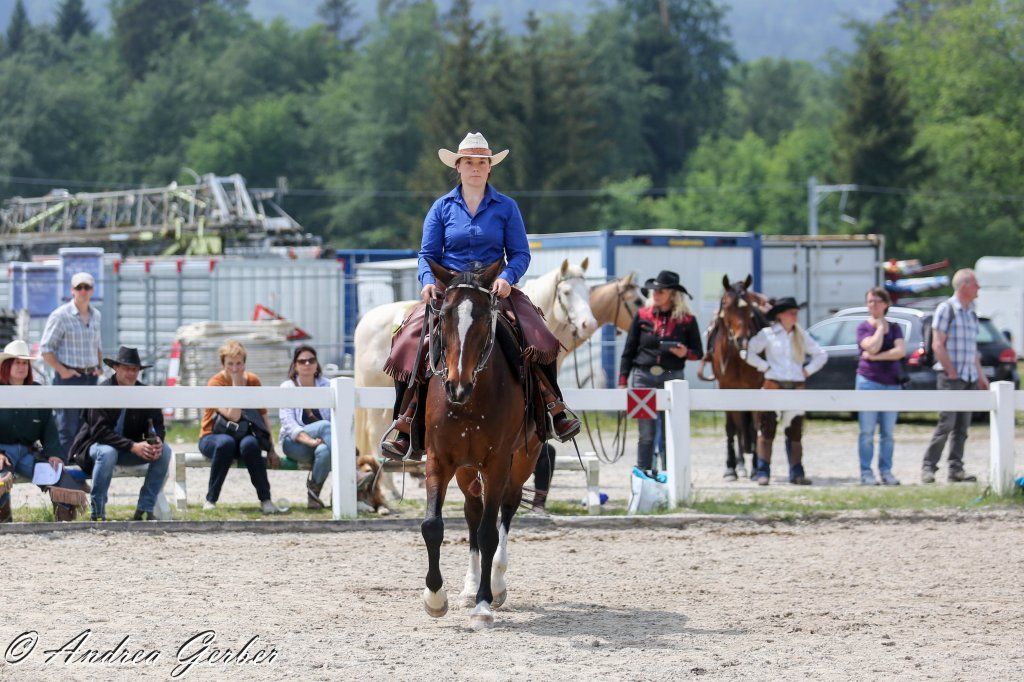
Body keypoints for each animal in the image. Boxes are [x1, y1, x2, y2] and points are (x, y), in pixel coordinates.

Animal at [353, 259, 597, 498]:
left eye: (587, 290)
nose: (589, 324)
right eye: (566, 292)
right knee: (374, 433)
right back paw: (393, 485)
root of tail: (364, 322)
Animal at [418, 259, 543, 631]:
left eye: (486, 318)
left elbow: (490, 532)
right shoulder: (439, 460)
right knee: (473, 512)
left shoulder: (498, 463)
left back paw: (497, 584)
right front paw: (436, 598)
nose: (456, 385)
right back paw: (470, 586)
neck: (470, 401)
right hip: (466, 470)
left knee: (506, 511)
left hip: (522, 460)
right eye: (444, 316)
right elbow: (433, 526)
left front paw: (484, 604)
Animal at [708, 274, 765, 480]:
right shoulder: (726, 387)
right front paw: (730, 468)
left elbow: (755, 426)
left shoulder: (756, 388)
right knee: (739, 426)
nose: (742, 340)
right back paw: (739, 465)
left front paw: (756, 468)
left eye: (748, 307)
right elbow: (731, 427)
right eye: (726, 305)